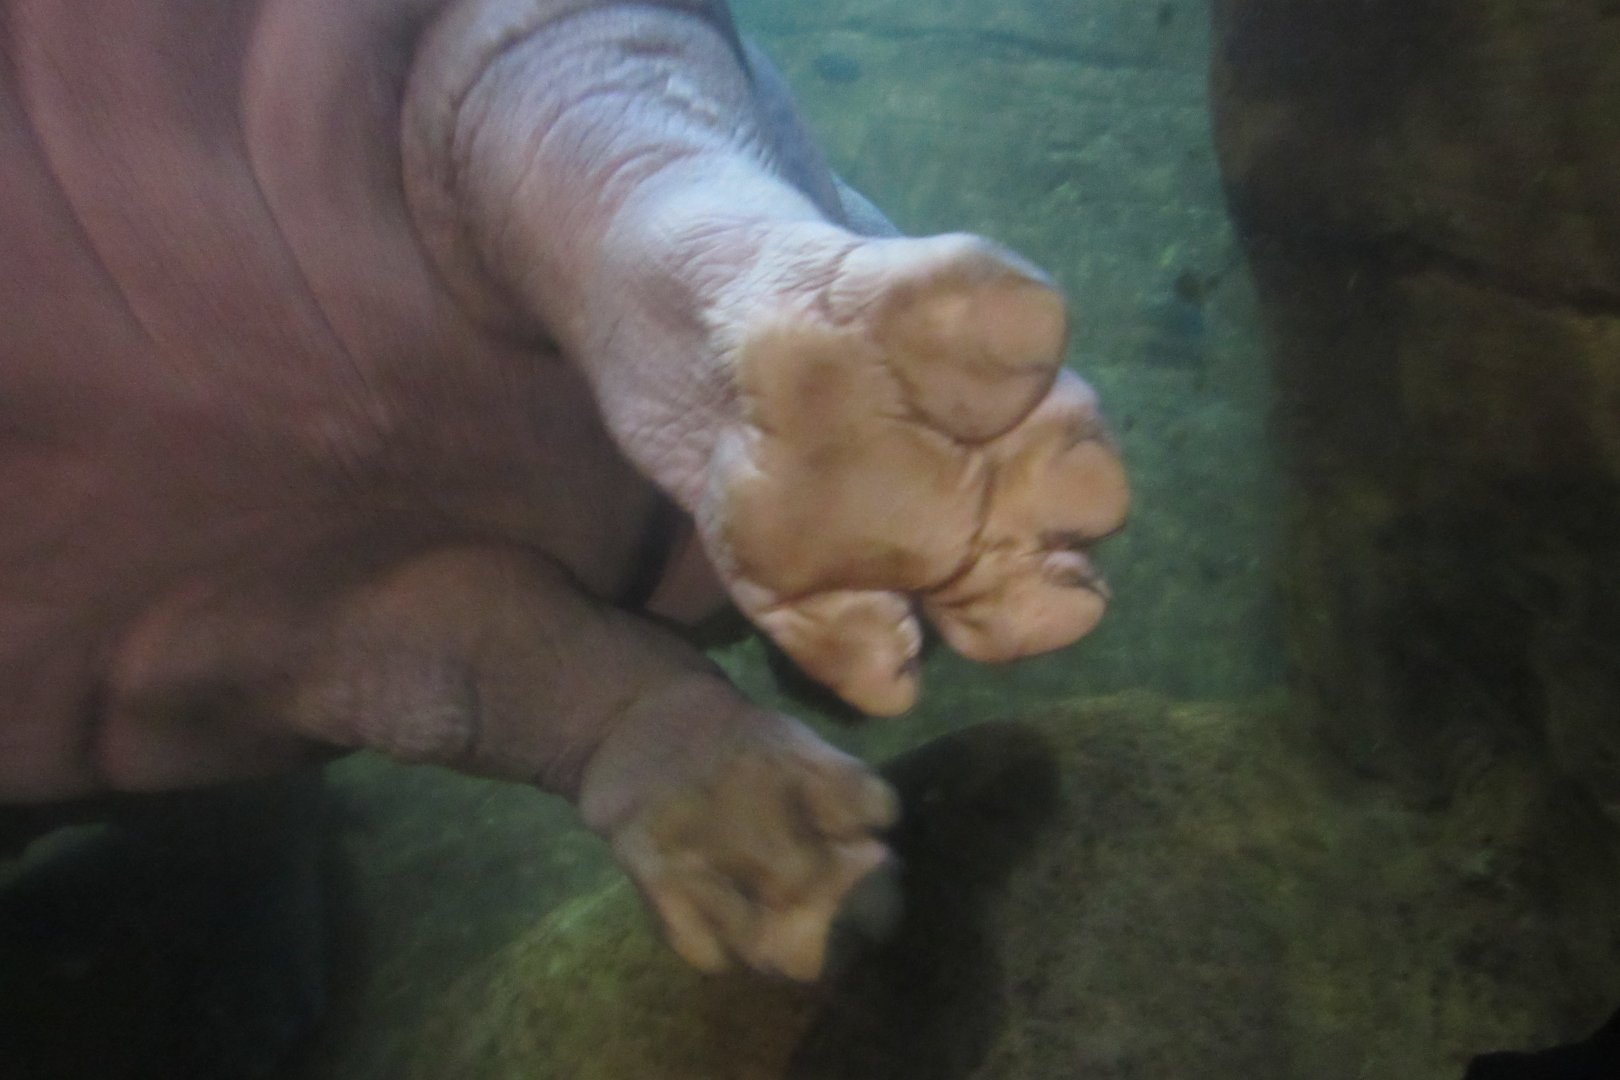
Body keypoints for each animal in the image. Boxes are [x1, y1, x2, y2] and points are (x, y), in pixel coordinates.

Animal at [1, 0, 1127, 984]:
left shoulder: (242, 624)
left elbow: (497, 666)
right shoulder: (196, 652)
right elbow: (514, 665)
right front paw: (803, 882)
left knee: (598, 137)